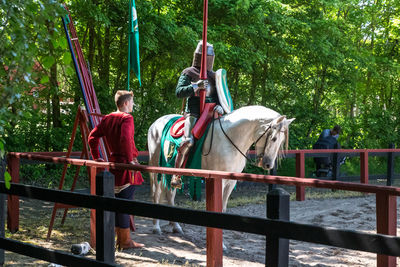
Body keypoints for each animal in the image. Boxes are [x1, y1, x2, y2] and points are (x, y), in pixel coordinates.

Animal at [146, 105, 294, 236]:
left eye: (281, 140)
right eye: (274, 138)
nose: (268, 164)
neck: (231, 137)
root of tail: (155, 123)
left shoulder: (231, 181)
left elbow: (223, 208)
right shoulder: (219, 180)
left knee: (170, 194)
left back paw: (175, 226)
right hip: (156, 168)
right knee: (156, 193)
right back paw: (156, 227)